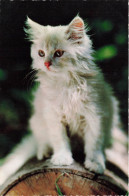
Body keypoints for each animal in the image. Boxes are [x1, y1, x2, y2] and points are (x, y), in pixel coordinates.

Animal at [0, 15, 120, 185]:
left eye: (58, 53)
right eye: (41, 53)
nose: (46, 63)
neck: (67, 84)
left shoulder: (95, 115)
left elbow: (94, 143)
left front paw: (95, 163)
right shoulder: (53, 116)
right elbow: (60, 140)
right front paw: (62, 158)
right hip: (37, 121)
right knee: (42, 140)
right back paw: (44, 151)